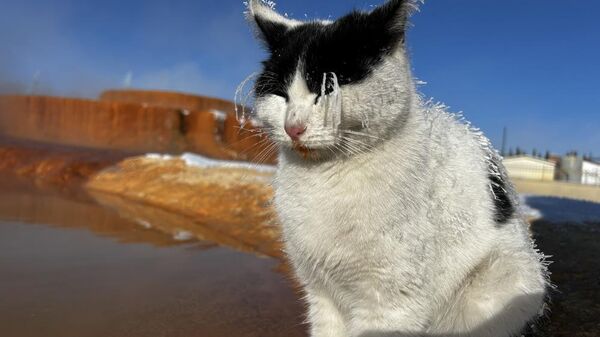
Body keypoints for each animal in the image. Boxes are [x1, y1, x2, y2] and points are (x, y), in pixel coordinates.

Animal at [244, 1, 548, 334]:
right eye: (281, 95)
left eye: (328, 87)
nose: (293, 127)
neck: (325, 178)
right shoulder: (320, 294)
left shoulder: (390, 302)